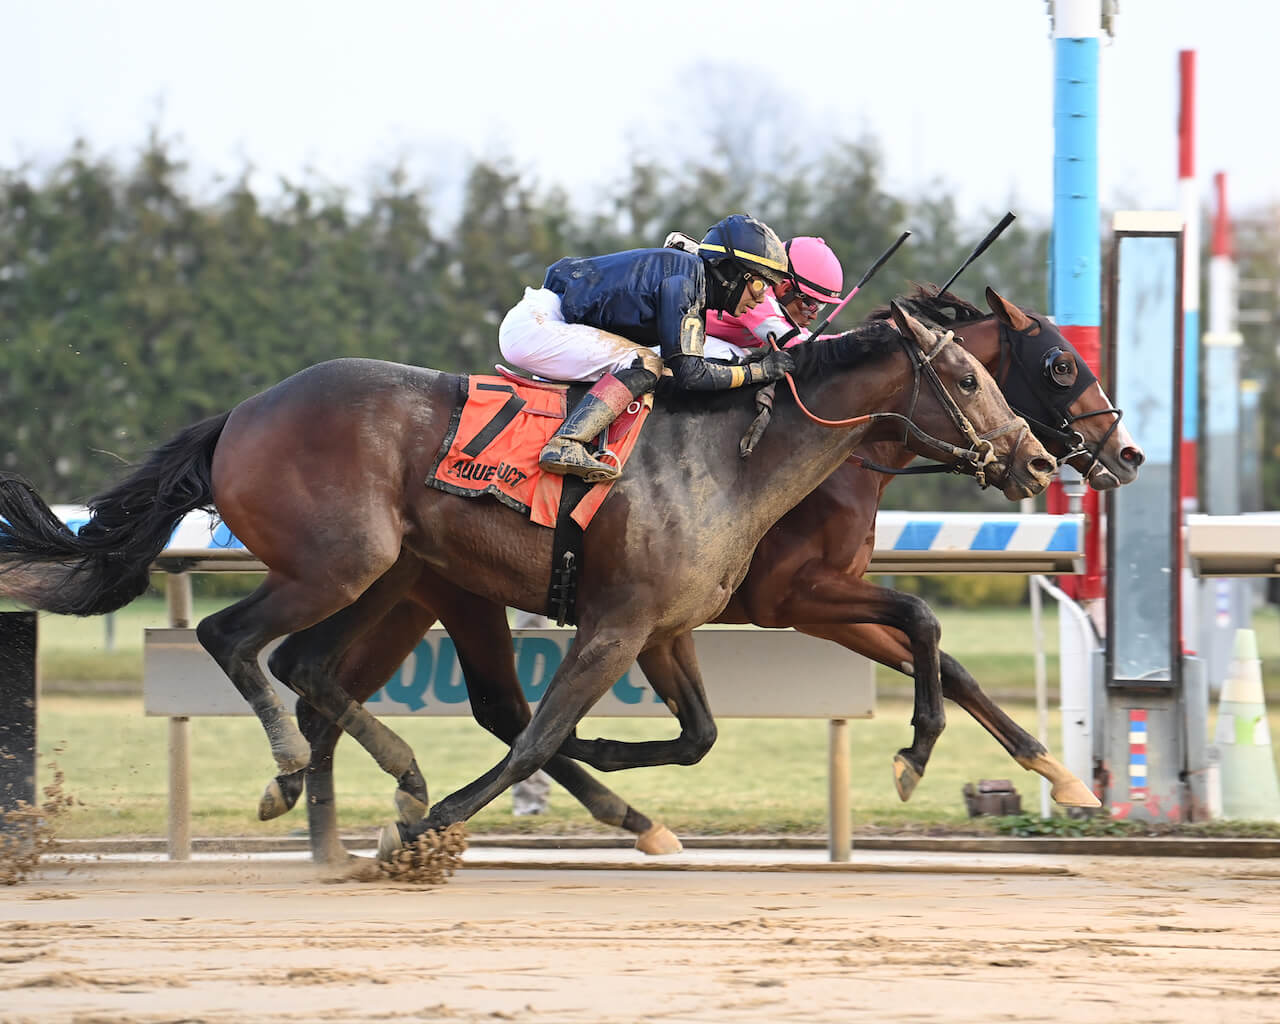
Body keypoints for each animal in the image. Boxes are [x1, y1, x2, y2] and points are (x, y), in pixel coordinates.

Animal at [0, 308, 1049, 860]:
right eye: (967, 378)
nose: (1040, 459)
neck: (730, 459)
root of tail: (243, 413)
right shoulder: (621, 624)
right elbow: (541, 734)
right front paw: (433, 831)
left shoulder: (666, 628)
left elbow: (696, 734)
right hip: (347, 565)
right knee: (241, 644)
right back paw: (304, 774)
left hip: (391, 578)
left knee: (314, 670)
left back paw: (378, 783)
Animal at [259, 284, 1141, 860]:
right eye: (1061, 365)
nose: (1125, 453)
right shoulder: (797, 597)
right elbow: (923, 622)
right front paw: (921, 753)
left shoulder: (802, 606)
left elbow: (938, 651)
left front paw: (1059, 776)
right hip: (423, 590)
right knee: (448, 703)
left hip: (408, 592)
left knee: (330, 686)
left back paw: (323, 816)